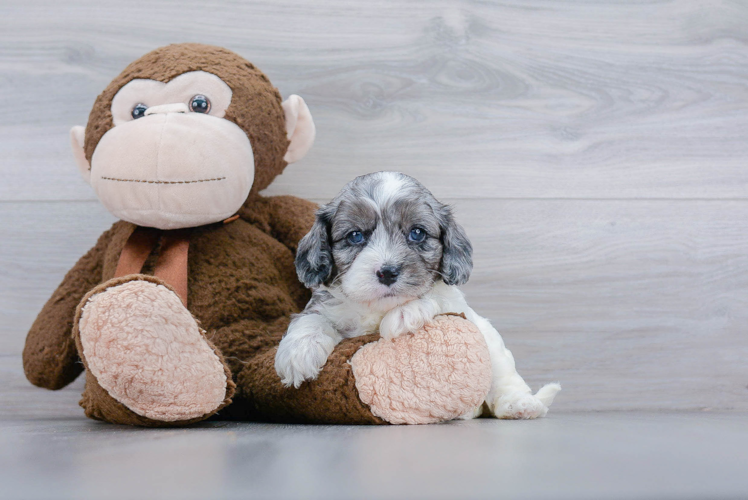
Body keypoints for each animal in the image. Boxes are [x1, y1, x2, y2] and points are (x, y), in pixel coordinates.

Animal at [278, 172, 560, 418]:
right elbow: (311, 318)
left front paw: (405, 312)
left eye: (417, 233)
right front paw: (298, 352)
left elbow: (435, 295)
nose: (388, 272)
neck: (378, 308)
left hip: (489, 343)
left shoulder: (455, 302)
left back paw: (520, 405)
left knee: (503, 375)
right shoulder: (326, 305)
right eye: (355, 235)